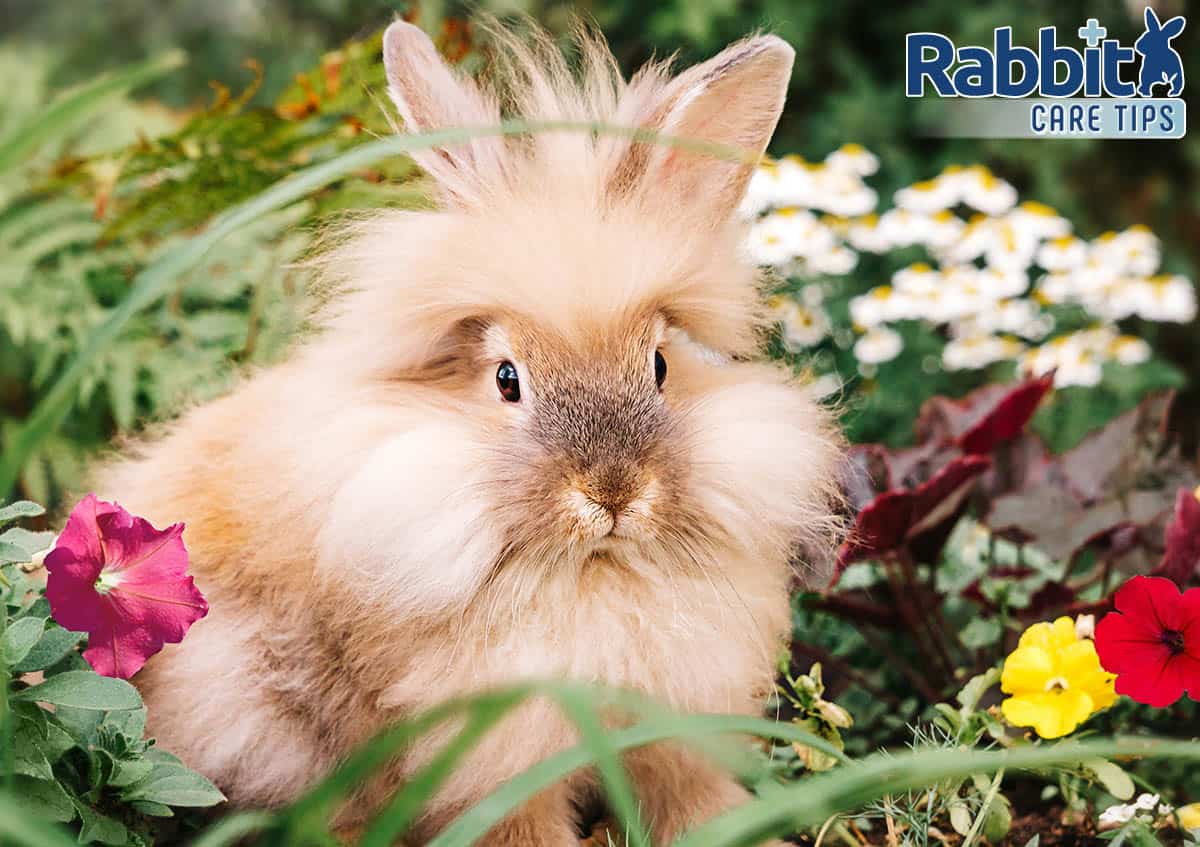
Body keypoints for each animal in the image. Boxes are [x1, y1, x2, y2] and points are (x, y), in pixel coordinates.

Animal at [93, 16, 844, 839]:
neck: (591, 571)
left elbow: (685, 789)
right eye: (507, 379)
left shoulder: (675, 720)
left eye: (660, 366)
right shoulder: (495, 756)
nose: (613, 492)